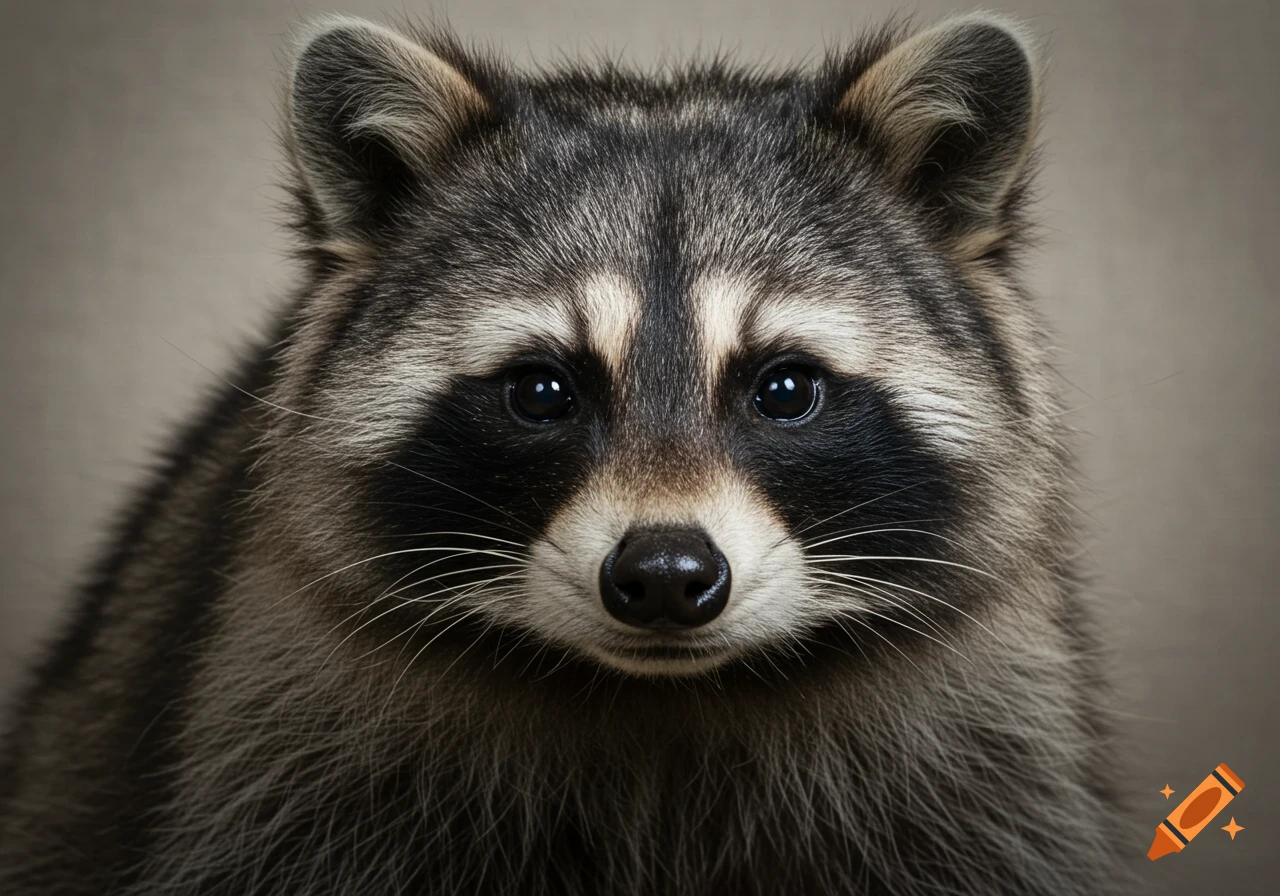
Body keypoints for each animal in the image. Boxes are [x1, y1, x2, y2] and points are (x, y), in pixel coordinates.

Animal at [0, 12, 1119, 895]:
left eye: (785, 390)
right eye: (542, 391)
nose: (664, 574)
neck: (661, 703)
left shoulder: (979, 756)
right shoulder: (290, 748)